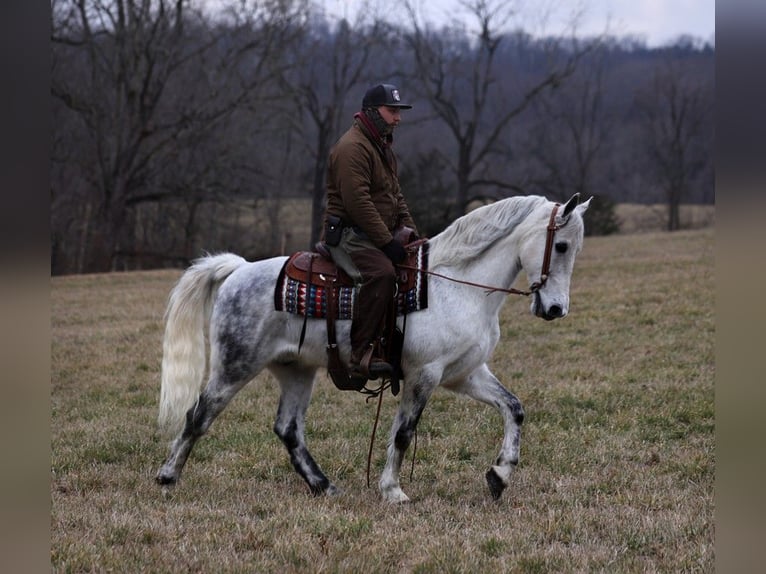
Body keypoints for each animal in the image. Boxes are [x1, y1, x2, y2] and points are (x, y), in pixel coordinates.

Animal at [154, 194, 588, 504]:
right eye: (562, 246)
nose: (556, 309)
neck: (456, 283)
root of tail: (240, 268)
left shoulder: (464, 374)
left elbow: (513, 408)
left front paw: (499, 476)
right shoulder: (424, 375)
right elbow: (404, 433)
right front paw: (392, 490)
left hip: (296, 370)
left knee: (288, 429)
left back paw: (322, 485)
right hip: (235, 366)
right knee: (198, 415)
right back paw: (167, 476)